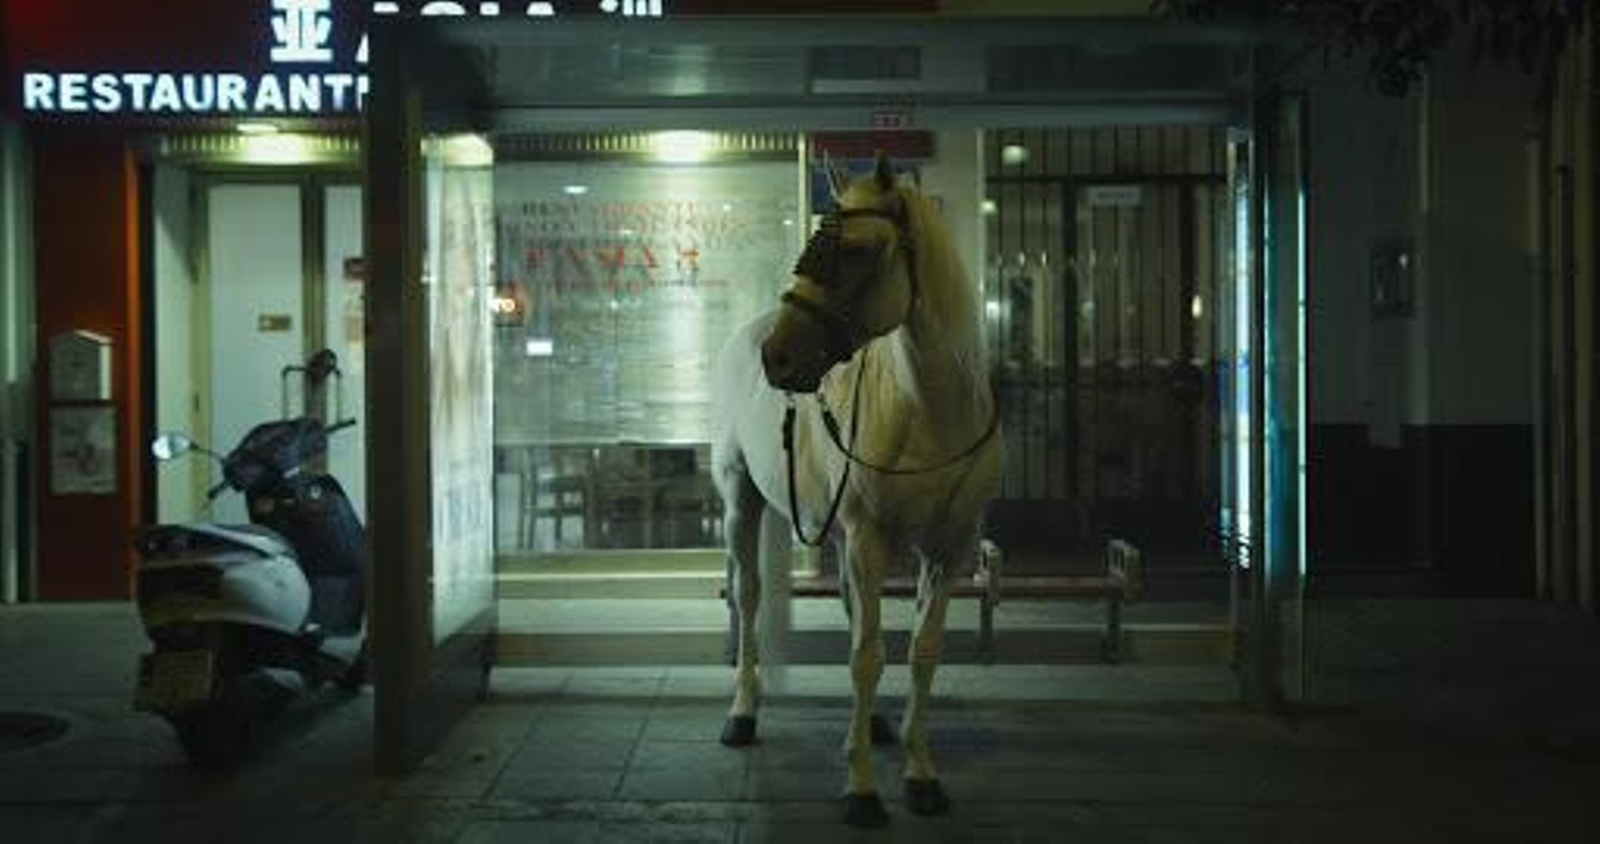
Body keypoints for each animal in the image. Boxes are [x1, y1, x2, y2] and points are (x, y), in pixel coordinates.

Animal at [710, 152, 1001, 827]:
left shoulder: (946, 547)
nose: (778, 359)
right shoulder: (869, 538)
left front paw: (921, 776)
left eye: (859, 251)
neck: (930, 412)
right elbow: (866, 657)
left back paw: (875, 724)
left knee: (847, 606)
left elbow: (920, 652)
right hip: (741, 500)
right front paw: (862, 789)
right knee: (748, 595)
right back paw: (743, 713)